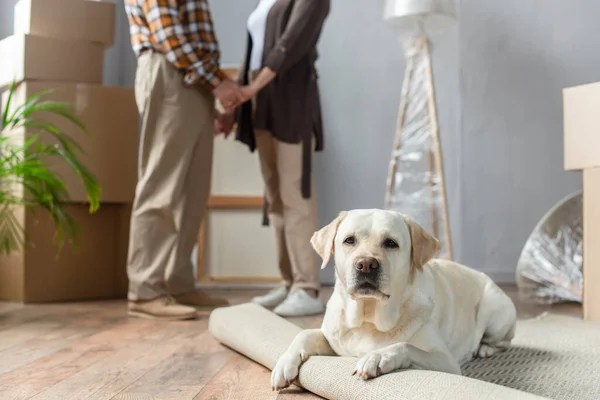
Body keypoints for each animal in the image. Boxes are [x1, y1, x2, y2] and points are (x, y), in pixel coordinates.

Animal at [270, 209, 516, 390]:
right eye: (349, 240)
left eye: (391, 243)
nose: (365, 264)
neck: (369, 317)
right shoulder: (334, 340)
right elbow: (303, 333)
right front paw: (284, 363)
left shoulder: (446, 361)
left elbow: (405, 345)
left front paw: (377, 357)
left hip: (494, 311)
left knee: (503, 341)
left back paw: (484, 348)